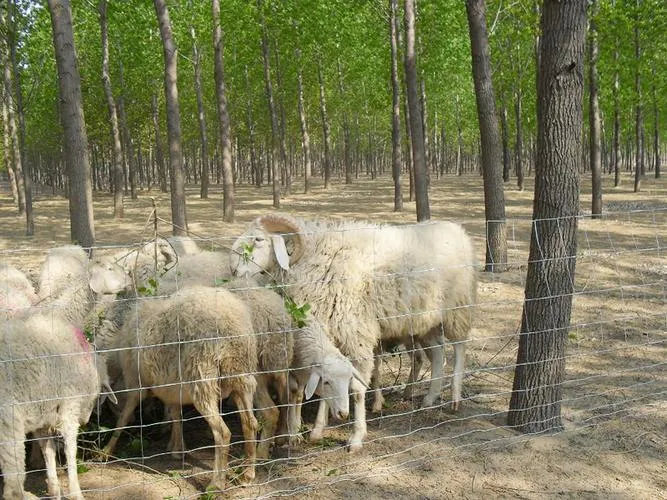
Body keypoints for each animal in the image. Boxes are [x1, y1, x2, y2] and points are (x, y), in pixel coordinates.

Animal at [99, 285, 259, 491]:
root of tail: (233, 328)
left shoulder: (136, 383)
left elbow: (123, 418)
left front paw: (106, 451)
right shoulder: (172, 388)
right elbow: (176, 416)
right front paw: (177, 449)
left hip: (202, 379)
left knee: (222, 433)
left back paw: (216, 483)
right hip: (241, 378)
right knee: (250, 423)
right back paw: (248, 475)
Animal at [230, 213, 477, 451]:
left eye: (258, 239)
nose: (233, 268)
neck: (316, 258)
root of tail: (456, 229)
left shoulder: (357, 335)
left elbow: (357, 390)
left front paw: (357, 437)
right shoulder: (330, 334)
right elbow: (325, 383)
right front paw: (317, 430)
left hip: (457, 308)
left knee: (459, 347)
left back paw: (455, 398)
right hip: (425, 320)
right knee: (438, 352)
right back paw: (430, 398)